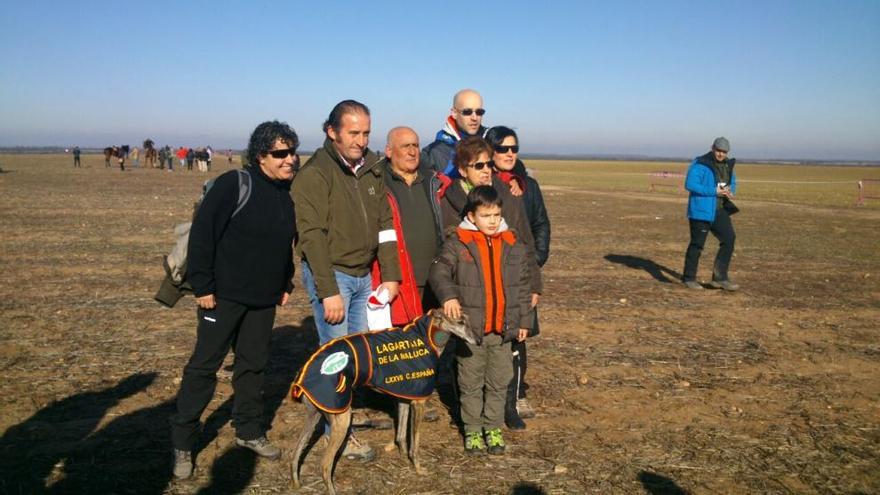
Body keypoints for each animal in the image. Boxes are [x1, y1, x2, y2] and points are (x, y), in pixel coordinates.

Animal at [290, 310, 482, 495]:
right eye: (460, 322)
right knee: (324, 464)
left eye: (468, 319)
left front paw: (404, 460)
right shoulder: (418, 403)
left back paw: (296, 484)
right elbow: (415, 445)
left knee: (295, 454)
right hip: (341, 419)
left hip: (314, 417)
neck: (427, 336)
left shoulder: (404, 399)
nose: (479, 341)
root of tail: (303, 375)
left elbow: (401, 436)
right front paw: (418, 469)